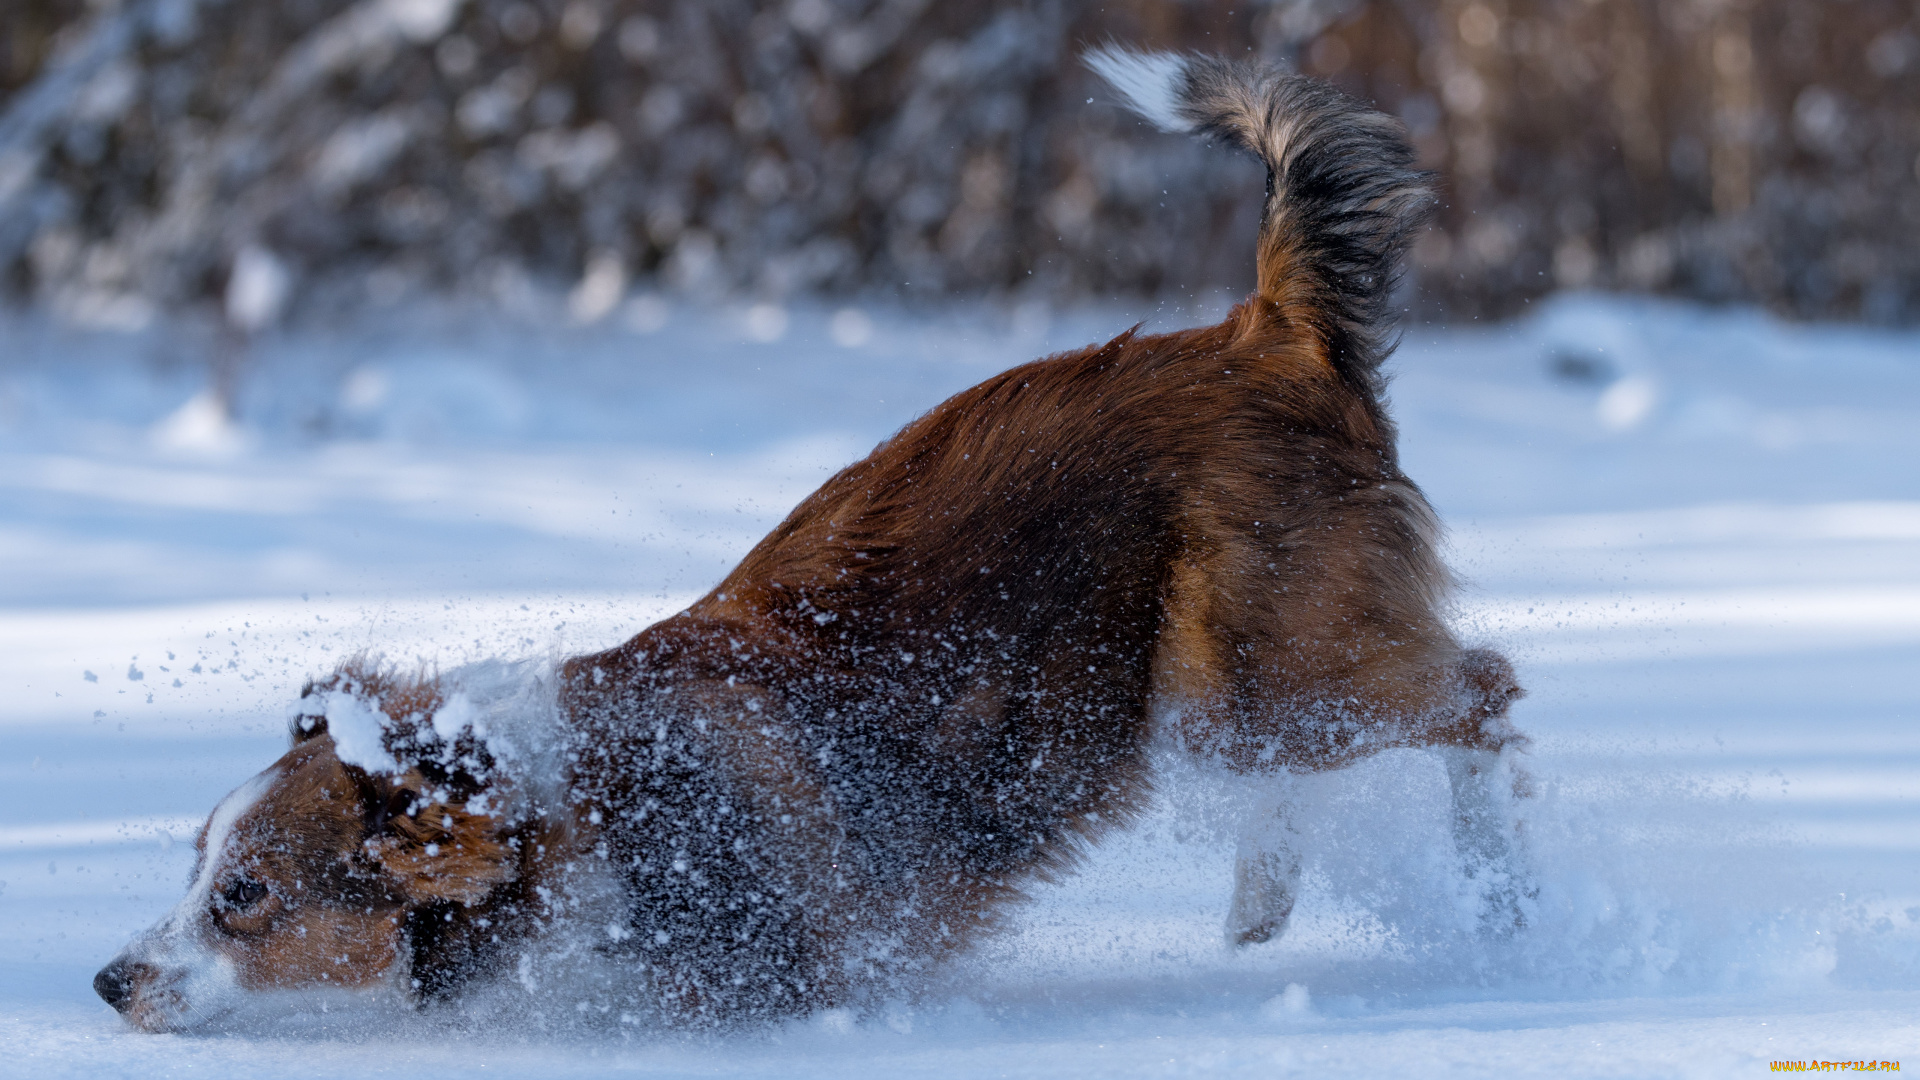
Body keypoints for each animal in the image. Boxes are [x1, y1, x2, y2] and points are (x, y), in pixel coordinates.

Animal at [93, 48, 1528, 1022]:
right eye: (193, 868)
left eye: (245, 895)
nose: (105, 982)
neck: (566, 820)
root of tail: (1260, 330)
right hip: (1225, 694)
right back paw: (1258, 910)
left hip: (1265, 677)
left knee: (1491, 696)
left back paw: (1510, 905)